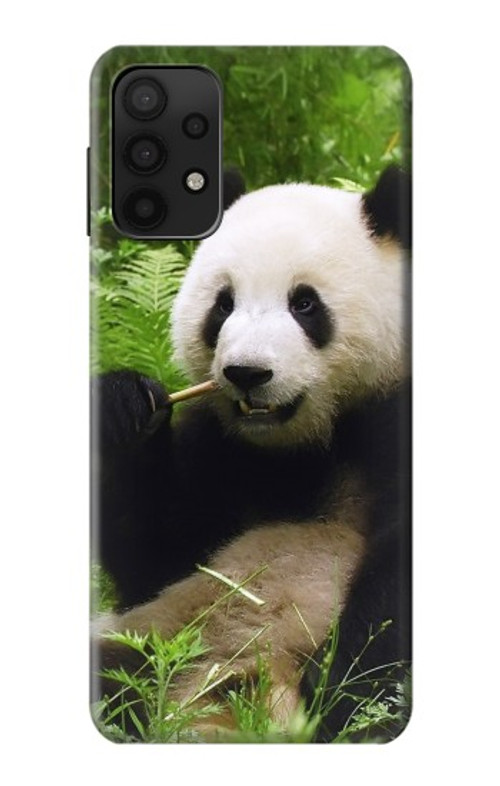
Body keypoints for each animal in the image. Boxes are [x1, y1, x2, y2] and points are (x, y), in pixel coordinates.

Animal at [93, 166, 411, 741]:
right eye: (223, 304)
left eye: (305, 304)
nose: (246, 373)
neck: (306, 442)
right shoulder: (222, 447)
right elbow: (159, 559)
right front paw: (124, 407)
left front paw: (340, 695)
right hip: (159, 637)